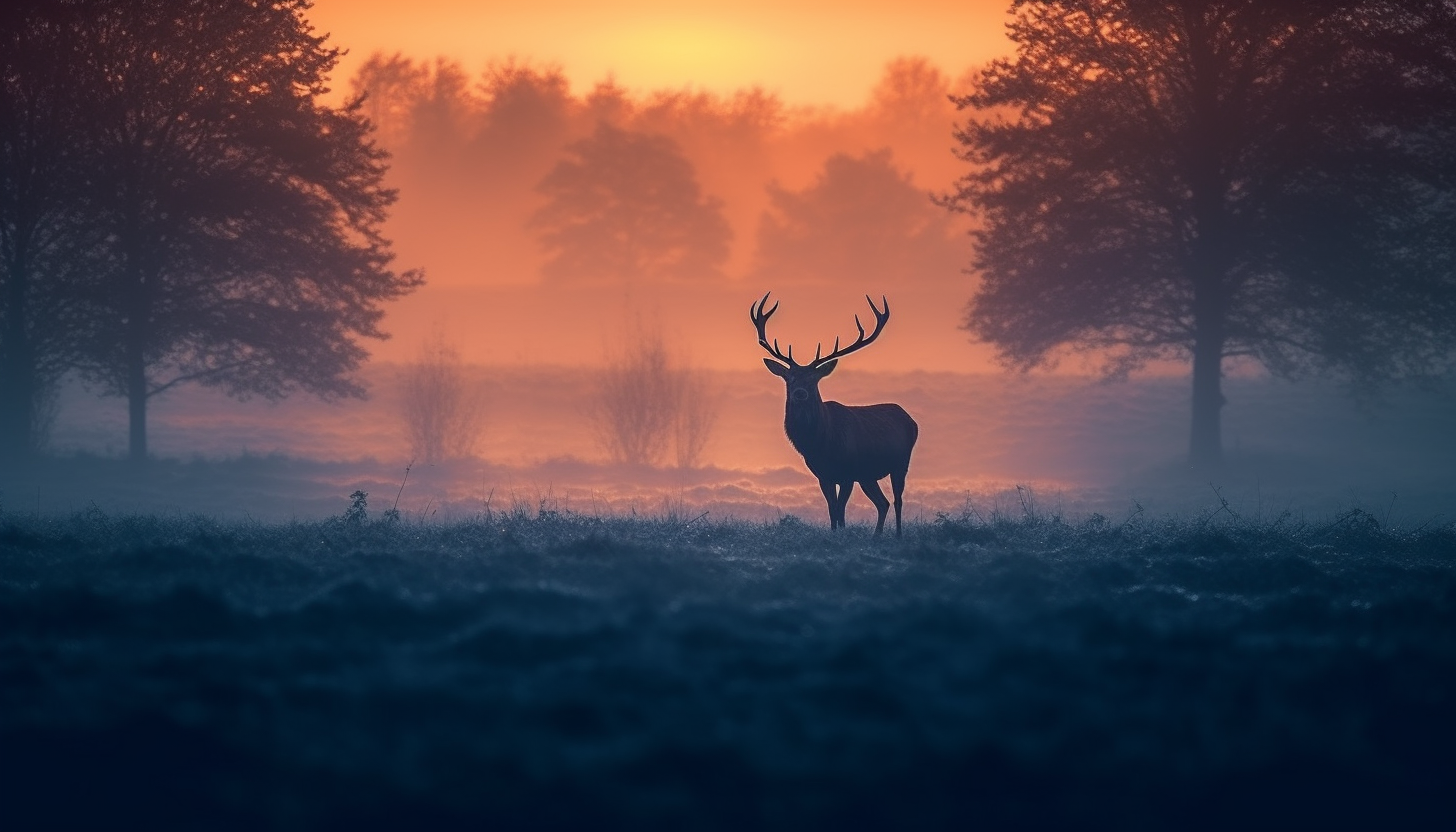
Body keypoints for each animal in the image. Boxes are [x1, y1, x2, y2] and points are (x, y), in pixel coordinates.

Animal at [751, 292, 920, 539]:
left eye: (814, 379)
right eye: (789, 378)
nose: (800, 393)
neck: (822, 444)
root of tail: (910, 418)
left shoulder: (848, 472)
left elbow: (840, 509)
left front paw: (842, 534)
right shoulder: (824, 475)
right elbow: (832, 509)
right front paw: (834, 534)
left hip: (900, 462)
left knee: (897, 501)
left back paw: (898, 535)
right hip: (868, 475)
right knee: (883, 503)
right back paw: (876, 536)